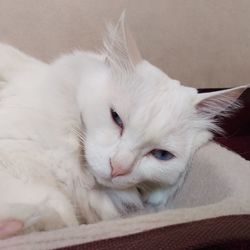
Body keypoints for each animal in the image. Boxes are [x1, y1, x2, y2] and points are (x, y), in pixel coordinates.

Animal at [0, 13, 246, 232]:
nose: (118, 168)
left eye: (161, 155)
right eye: (116, 118)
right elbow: (56, 204)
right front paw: (25, 223)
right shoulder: (14, 153)